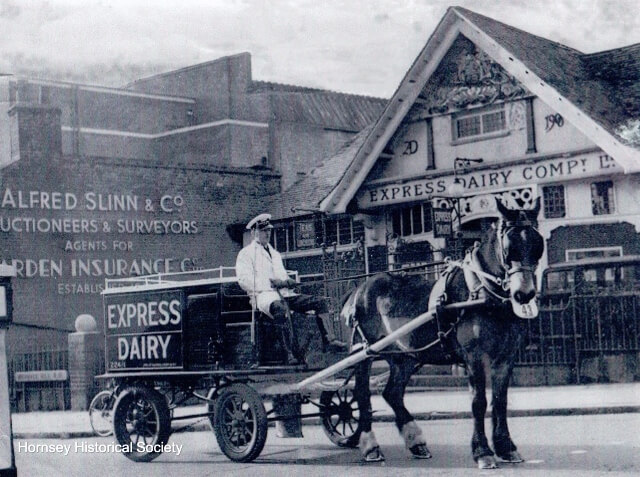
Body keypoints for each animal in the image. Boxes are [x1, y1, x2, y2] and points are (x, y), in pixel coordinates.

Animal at [342, 195, 544, 466]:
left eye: (537, 245)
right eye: (509, 247)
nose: (524, 295)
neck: (483, 291)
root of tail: (358, 289)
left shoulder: (505, 357)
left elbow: (500, 401)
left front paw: (506, 448)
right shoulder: (474, 357)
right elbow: (479, 402)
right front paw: (483, 452)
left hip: (405, 357)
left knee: (392, 393)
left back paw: (416, 442)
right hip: (365, 353)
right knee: (362, 393)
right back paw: (371, 446)